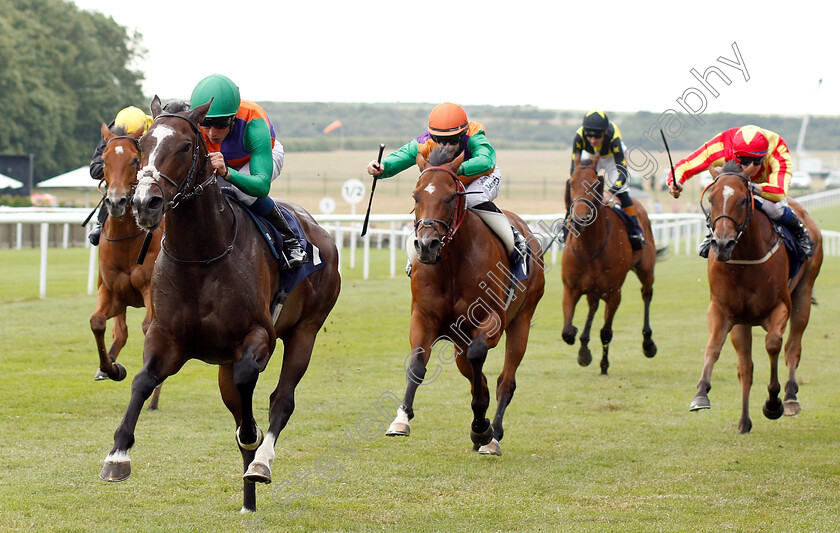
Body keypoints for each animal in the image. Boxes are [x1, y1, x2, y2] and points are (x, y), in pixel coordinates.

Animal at [91, 121, 165, 408]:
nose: (116, 201)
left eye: (135, 160)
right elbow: (98, 322)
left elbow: (148, 328)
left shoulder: (150, 292)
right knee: (120, 331)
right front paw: (111, 368)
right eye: (104, 159)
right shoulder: (111, 292)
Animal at [386, 147, 548, 458]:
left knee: (504, 381)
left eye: (451, 196)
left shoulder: (492, 321)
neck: (451, 262)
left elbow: (479, 358)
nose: (427, 245)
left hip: (522, 320)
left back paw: (492, 435)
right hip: (458, 342)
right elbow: (417, 365)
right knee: (477, 377)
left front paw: (482, 428)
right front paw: (401, 419)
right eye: (415, 196)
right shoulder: (423, 318)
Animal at [560, 152, 660, 372]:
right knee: (593, 304)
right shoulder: (571, 288)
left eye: (595, 183)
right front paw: (583, 349)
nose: (580, 219)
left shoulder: (614, 292)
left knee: (647, 293)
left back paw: (648, 343)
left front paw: (603, 364)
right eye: (571, 183)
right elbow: (567, 331)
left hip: (646, 269)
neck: (590, 248)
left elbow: (606, 332)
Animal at [688, 162, 820, 432]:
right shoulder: (723, 310)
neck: (744, 261)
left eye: (742, 200)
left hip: (803, 294)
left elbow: (773, 344)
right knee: (745, 367)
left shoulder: (780, 307)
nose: (722, 244)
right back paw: (744, 421)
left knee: (793, 346)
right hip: (743, 321)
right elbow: (714, 347)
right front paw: (701, 393)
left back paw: (790, 397)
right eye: (711, 198)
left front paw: (773, 402)